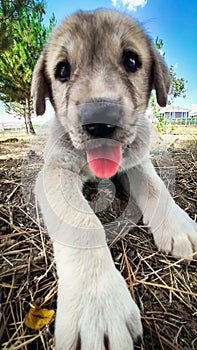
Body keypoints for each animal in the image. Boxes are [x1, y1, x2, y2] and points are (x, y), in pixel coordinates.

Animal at [31, 9, 197, 350]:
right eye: (62, 70)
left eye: (131, 61)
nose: (100, 121)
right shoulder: (56, 171)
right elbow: (82, 223)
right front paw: (97, 306)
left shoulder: (135, 161)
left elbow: (155, 186)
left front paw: (176, 223)